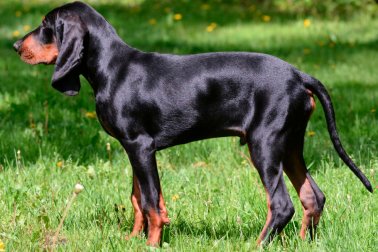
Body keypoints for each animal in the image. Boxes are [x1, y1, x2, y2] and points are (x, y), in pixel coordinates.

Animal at [14, 0, 372, 247]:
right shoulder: (133, 148)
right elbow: (139, 199)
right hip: (291, 144)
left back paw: (256, 245)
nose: (16, 46)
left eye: (46, 24)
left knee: (282, 205)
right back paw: (300, 244)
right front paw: (132, 241)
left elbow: (150, 202)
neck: (112, 68)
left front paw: (151, 245)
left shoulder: (140, 146)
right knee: (313, 197)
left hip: (265, 145)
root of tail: (300, 75)